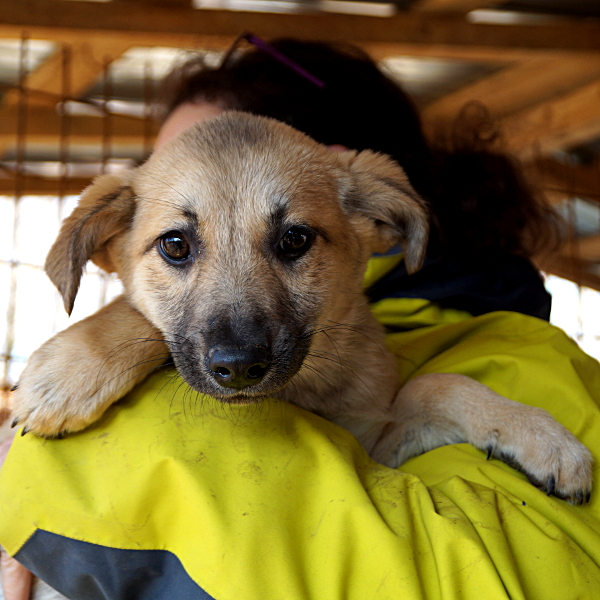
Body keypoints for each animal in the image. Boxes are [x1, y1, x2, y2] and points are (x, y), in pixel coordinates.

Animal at [11, 111, 592, 502]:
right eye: (175, 245)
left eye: (295, 239)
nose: (239, 368)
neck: (303, 393)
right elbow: (136, 315)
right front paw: (67, 373)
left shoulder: (375, 447)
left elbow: (436, 384)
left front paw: (543, 437)